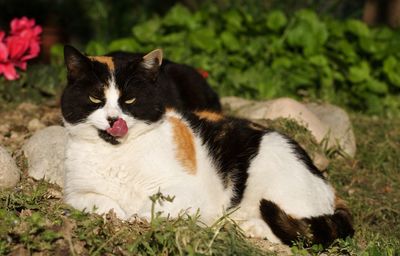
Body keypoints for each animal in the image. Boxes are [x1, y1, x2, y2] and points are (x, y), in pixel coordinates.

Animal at [61, 45, 354, 246]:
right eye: (95, 98)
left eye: (130, 100)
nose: (114, 119)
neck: (117, 155)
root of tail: (326, 183)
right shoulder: (75, 193)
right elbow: (100, 201)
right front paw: (119, 213)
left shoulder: (188, 193)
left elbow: (154, 208)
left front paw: (140, 216)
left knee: (299, 230)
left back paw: (252, 227)